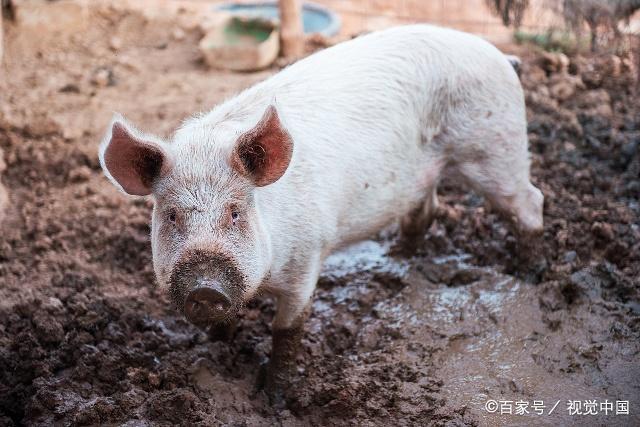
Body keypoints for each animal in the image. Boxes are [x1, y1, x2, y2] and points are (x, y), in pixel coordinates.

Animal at [97, 25, 544, 402]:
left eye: (236, 212)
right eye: (172, 215)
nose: (205, 287)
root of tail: (501, 56)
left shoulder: (306, 260)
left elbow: (287, 331)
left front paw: (275, 400)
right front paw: (217, 348)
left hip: (495, 146)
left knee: (531, 201)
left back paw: (529, 273)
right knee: (426, 208)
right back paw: (398, 258)